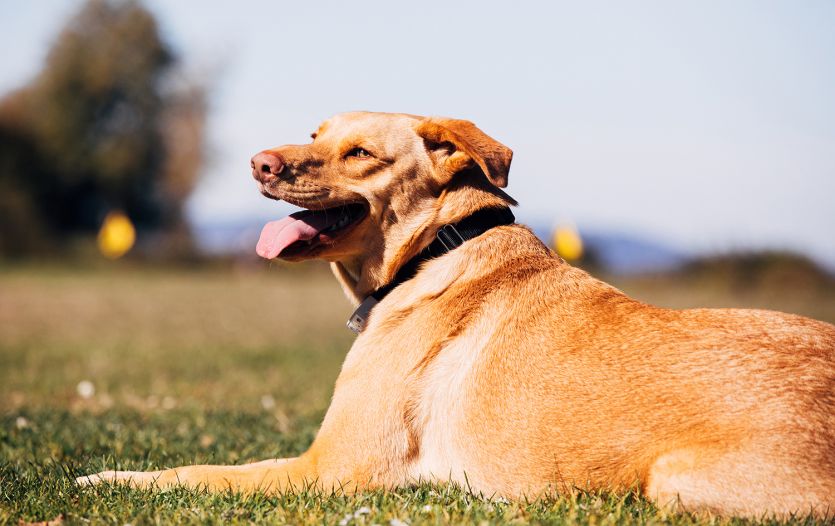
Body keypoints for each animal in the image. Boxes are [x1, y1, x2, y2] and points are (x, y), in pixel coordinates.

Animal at [81, 111, 835, 520]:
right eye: (313, 133)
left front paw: (100, 480)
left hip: (673, 480)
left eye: (360, 153)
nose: (259, 162)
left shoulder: (325, 469)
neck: (434, 250)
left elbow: (195, 473)